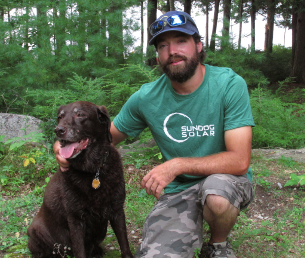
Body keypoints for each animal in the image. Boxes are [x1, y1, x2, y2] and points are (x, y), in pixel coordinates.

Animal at [27, 101, 132, 258]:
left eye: (80, 114)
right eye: (60, 117)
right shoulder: (75, 219)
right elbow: (79, 250)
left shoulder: (117, 209)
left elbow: (124, 242)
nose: (58, 130)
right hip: (35, 231)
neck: (93, 170)